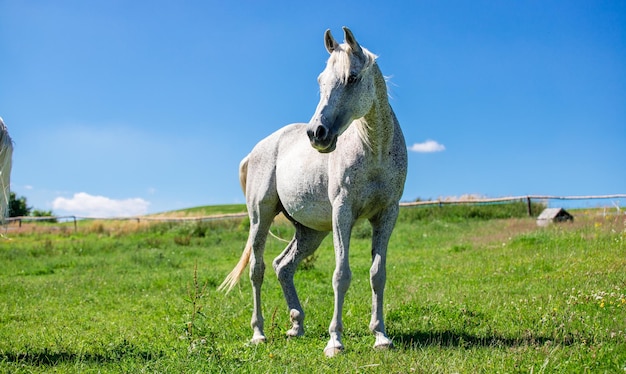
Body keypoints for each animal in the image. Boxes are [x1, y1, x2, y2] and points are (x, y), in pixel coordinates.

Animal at [217, 27, 408, 356]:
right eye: (320, 80)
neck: (374, 150)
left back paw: (296, 325)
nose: (316, 133)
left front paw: (381, 336)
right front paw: (335, 341)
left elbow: (377, 274)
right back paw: (258, 333)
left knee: (283, 266)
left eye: (352, 78)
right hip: (260, 219)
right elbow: (341, 275)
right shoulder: (342, 213)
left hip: (310, 232)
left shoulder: (387, 214)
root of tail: (258, 149)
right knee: (257, 269)